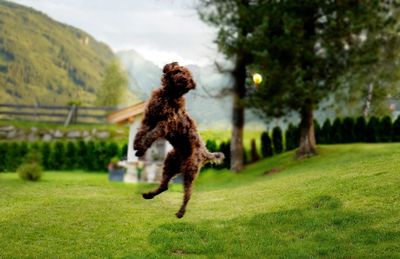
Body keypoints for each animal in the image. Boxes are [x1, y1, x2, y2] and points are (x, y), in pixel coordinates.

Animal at [134, 62, 222, 218]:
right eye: (179, 71)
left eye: (188, 76)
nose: (183, 79)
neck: (169, 95)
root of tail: (205, 153)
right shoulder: (149, 118)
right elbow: (141, 133)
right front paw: (137, 146)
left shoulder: (164, 124)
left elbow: (151, 135)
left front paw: (142, 147)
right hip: (169, 163)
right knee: (164, 186)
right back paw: (149, 195)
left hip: (189, 172)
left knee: (188, 194)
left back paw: (181, 212)